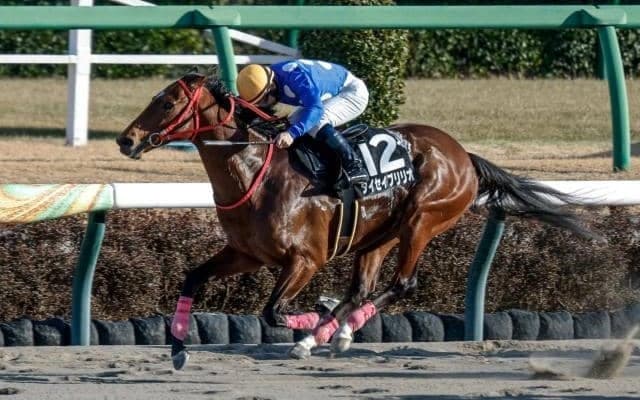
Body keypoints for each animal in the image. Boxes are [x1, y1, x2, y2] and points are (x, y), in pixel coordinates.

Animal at [116, 72, 598, 369]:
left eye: (168, 102)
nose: (127, 140)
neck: (256, 172)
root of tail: (464, 155)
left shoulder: (305, 260)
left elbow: (274, 311)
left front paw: (314, 318)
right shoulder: (246, 254)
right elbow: (192, 278)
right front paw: (178, 350)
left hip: (423, 218)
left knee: (402, 283)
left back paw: (326, 331)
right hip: (376, 235)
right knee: (363, 288)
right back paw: (333, 331)